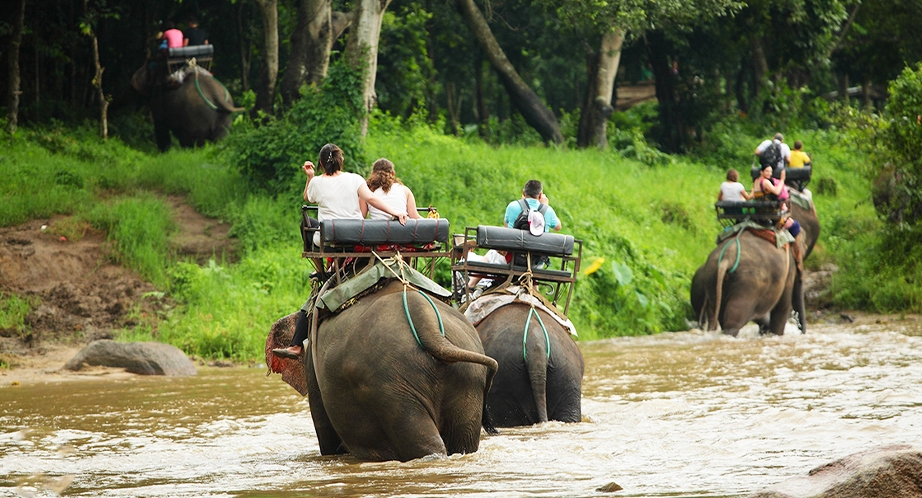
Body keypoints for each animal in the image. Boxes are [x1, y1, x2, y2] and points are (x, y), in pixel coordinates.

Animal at [268, 280, 496, 462]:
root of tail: (428, 325)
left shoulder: (313, 373)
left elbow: (326, 436)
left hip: (386, 384)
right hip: (468, 378)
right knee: (463, 440)